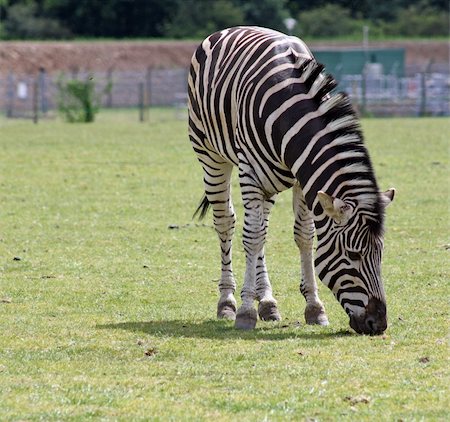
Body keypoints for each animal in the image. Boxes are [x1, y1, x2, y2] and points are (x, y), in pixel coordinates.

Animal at [187, 26, 394, 336]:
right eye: (353, 255)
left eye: (380, 254)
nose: (378, 324)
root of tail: (228, 30)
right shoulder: (250, 171)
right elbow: (252, 236)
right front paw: (245, 311)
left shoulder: (302, 178)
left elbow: (304, 236)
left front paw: (314, 308)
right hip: (211, 156)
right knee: (228, 223)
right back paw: (228, 302)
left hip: (268, 180)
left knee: (261, 228)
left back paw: (267, 302)